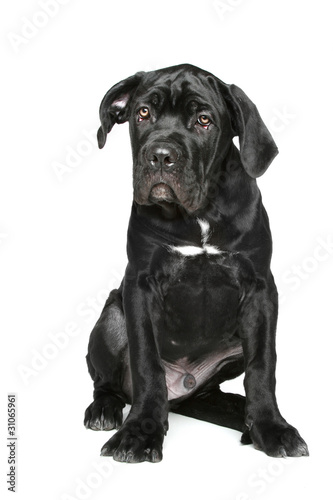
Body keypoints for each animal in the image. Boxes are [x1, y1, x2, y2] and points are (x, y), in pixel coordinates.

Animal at [84, 64, 308, 462]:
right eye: (143, 113)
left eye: (204, 120)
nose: (160, 155)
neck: (198, 213)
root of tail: (183, 388)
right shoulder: (140, 285)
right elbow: (147, 363)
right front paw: (140, 432)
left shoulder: (261, 290)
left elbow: (262, 365)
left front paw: (272, 428)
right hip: (111, 315)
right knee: (108, 383)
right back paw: (104, 409)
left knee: (210, 395)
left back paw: (243, 417)